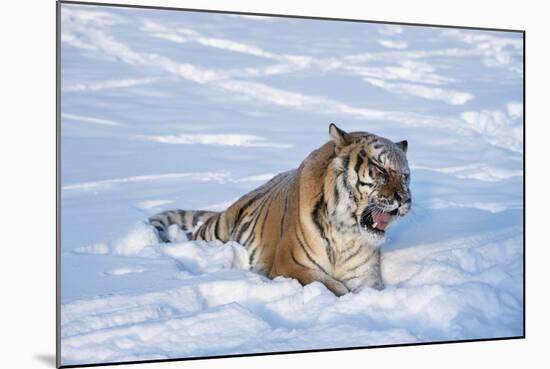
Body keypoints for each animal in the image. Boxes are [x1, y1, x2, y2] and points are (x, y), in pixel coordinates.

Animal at [149, 123, 412, 296]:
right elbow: (334, 287)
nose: (405, 199)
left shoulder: (366, 275)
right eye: (380, 168)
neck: (346, 231)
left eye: (406, 176)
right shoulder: (292, 265)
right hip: (216, 231)